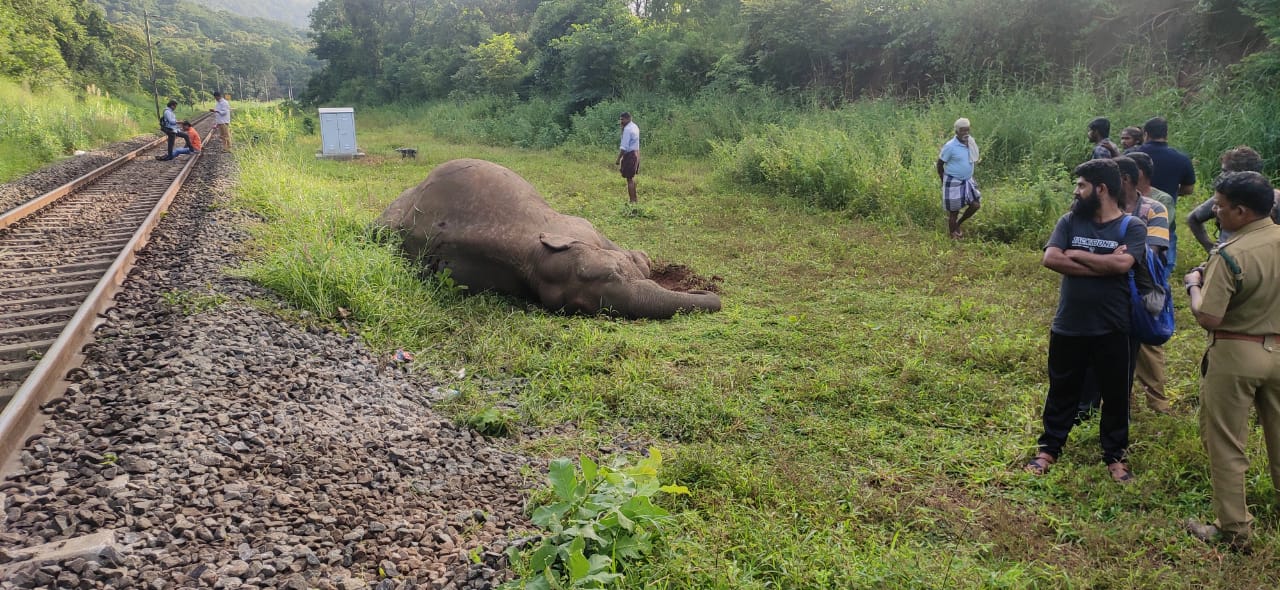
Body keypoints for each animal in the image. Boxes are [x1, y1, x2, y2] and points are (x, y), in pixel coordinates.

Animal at [374, 158, 722, 319]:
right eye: (581, 309)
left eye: (614, 273)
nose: (706, 291)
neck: (531, 255)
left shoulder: (577, 225)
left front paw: (643, 260)